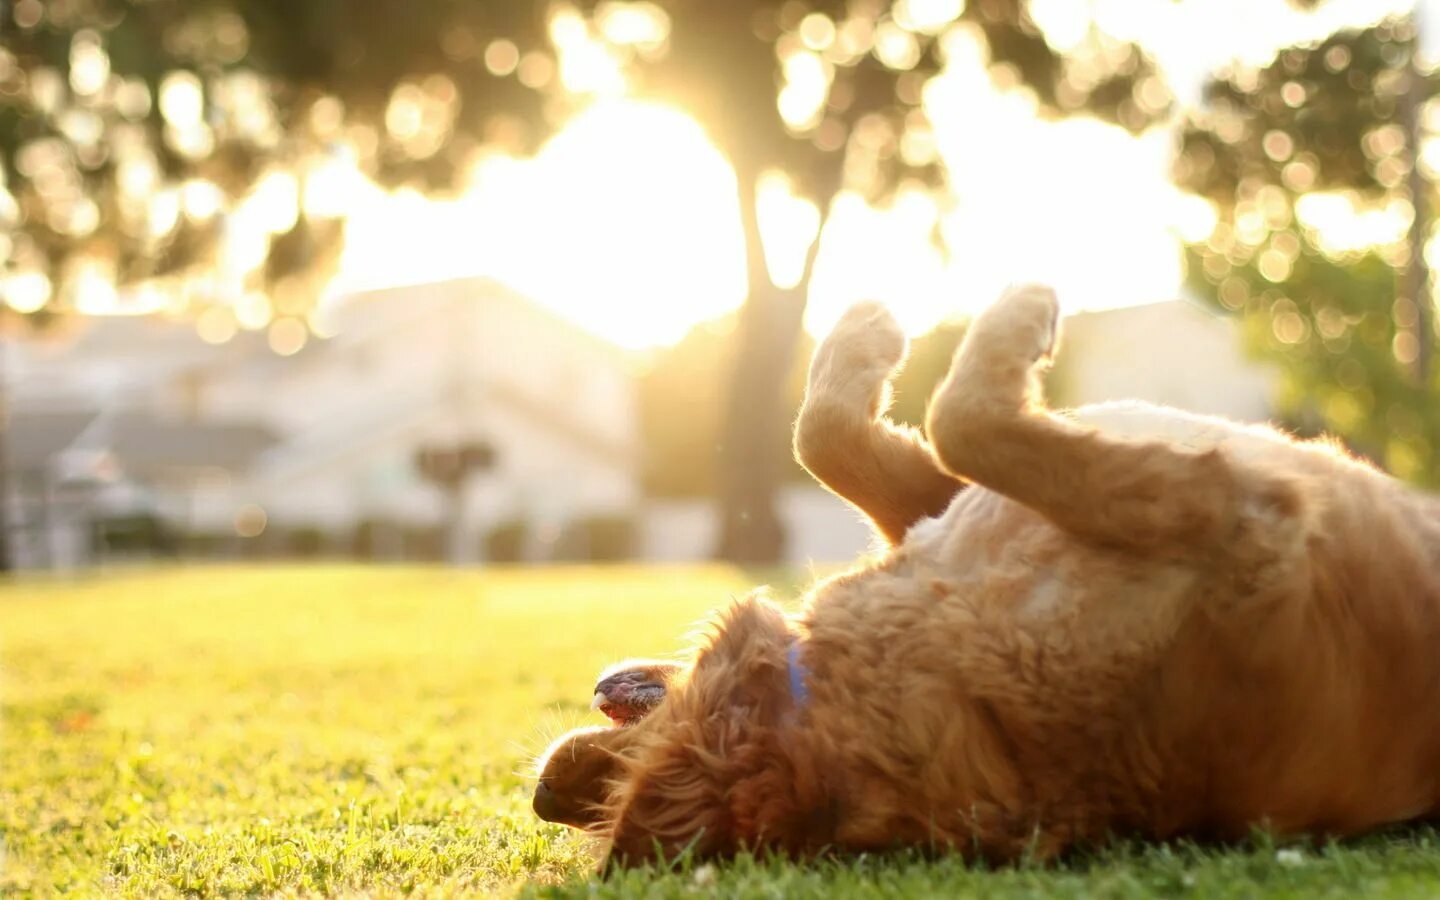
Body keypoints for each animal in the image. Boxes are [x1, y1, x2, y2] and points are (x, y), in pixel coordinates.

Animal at [529, 286, 1440, 864]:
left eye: (601, 791)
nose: (543, 795)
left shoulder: (944, 508)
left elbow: (827, 435)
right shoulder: (1240, 516)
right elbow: (961, 417)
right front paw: (1006, 314)